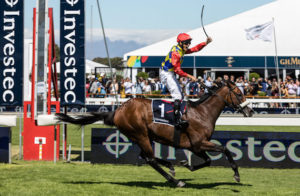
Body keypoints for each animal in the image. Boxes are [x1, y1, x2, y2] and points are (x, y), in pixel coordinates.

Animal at [55, 81, 251, 187]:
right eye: (239, 93)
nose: (249, 111)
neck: (202, 112)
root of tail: (117, 111)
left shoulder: (195, 146)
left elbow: (208, 161)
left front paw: (186, 165)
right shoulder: (198, 143)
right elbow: (225, 149)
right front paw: (236, 175)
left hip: (142, 136)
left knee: (146, 156)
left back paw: (170, 166)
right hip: (140, 133)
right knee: (149, 158)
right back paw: (175, 180)